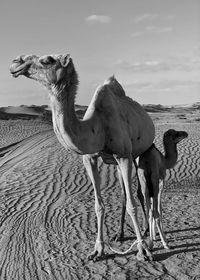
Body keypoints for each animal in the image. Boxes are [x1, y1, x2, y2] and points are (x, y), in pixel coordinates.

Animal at [10, 54, 155, 260]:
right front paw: (98, 250)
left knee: (140, 192)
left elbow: (132, 204)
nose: (16, 62)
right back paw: (119, 234)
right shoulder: (90, 158)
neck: (98, 126)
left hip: (139, 153)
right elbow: (99, 205)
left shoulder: (124, 155)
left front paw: (143, 249)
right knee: (123, 193)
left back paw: (145, 231)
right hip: (117, 162)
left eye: (47, 60)